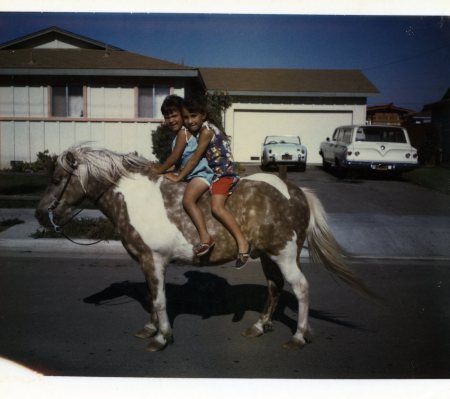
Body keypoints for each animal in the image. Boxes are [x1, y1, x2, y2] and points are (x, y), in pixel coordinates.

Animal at [35, 145, 372, 352]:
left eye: (57, 178)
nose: (40, 214)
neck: (135, 198)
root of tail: (296, 191)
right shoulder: (146, 262)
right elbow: (151, 296)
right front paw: (150, 328)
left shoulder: (154, 260)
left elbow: (160, 300)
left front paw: (162, 337)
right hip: (268, 257)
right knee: (274, 288)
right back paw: (259, 326)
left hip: (285, 255)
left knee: (300, 288)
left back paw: (299, 336)